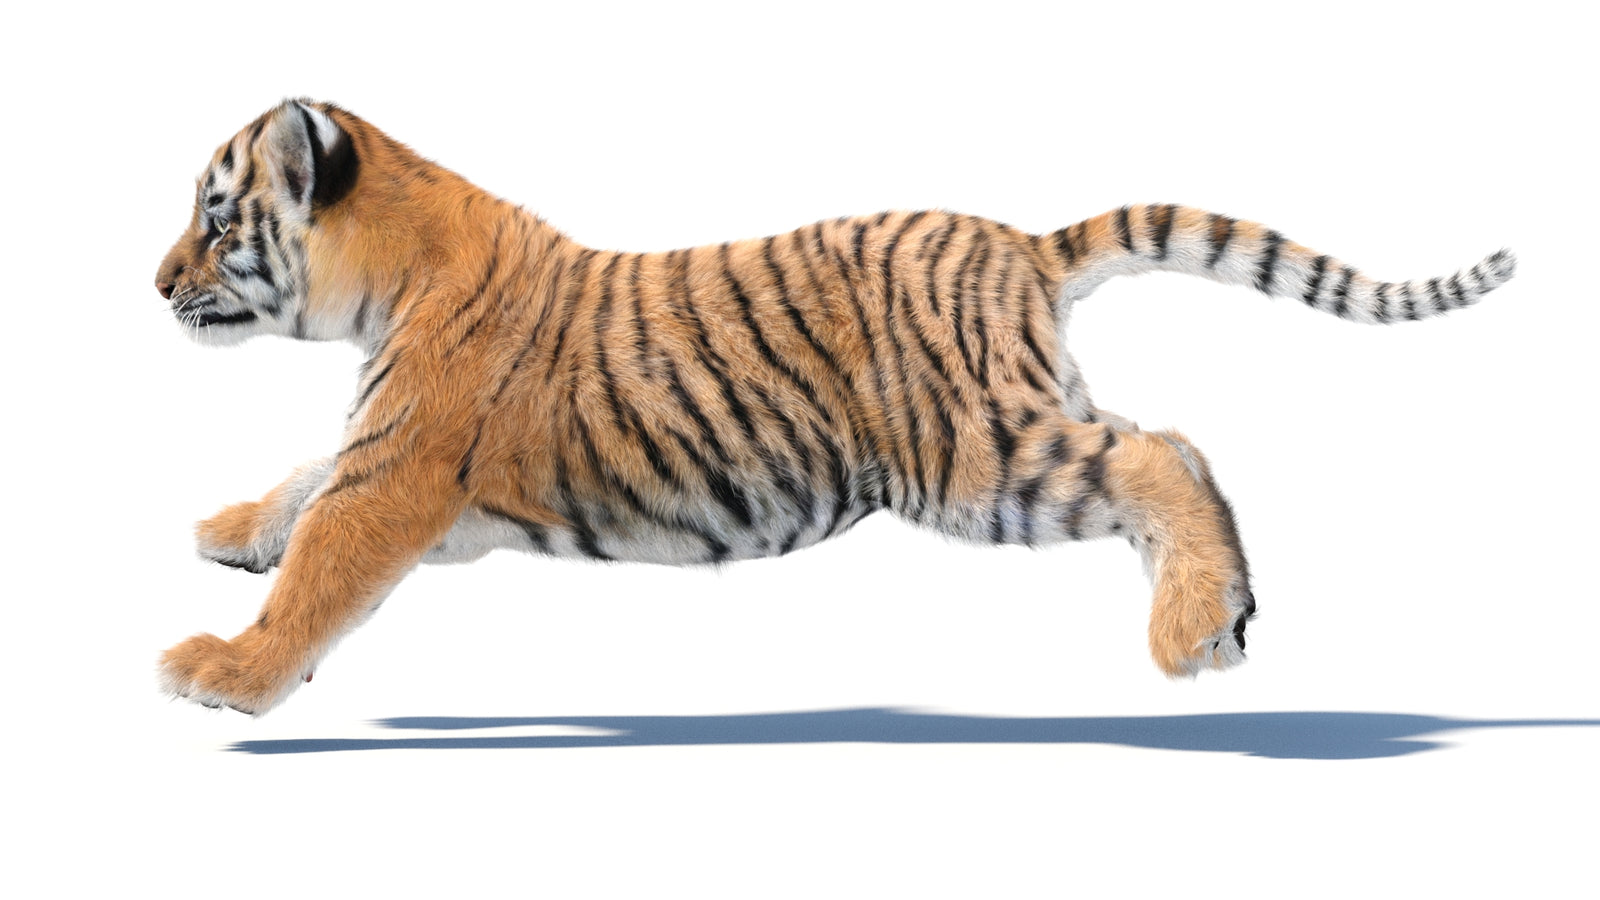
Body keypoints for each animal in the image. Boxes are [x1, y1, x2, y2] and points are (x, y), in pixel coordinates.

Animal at [154, 99, 1515, 715]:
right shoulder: (395, 470)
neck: (386, 274)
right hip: (1019, 420)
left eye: (216, 220)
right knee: (1161, 443)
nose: (157, 282)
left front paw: (221, 667)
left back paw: (1191, 632)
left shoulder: (396, 477)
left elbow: (319, 567)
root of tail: (1019, 243)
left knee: (1161, 454)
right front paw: (227, 530)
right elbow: (301, 484)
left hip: (973, 459)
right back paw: (1216, 612)